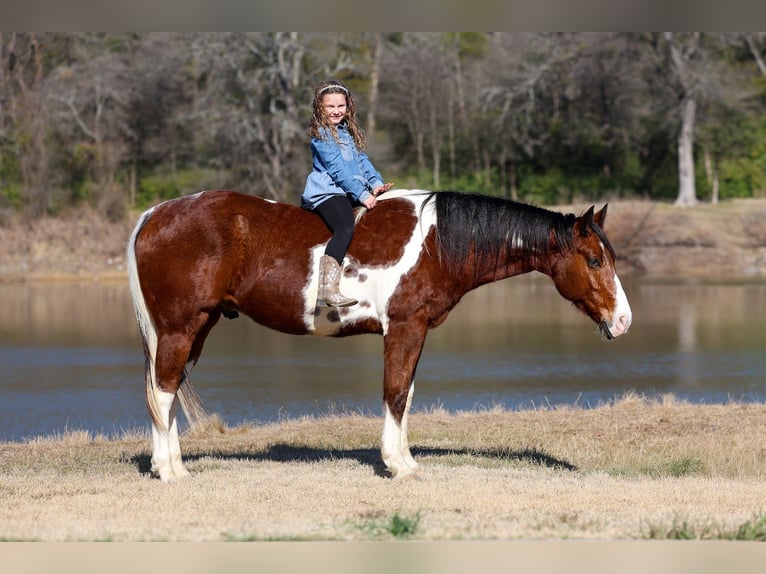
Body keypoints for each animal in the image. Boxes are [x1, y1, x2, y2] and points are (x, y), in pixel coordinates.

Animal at [127, 189, 632, 482]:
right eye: (593, 259)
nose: (625, 320)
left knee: (163, 390)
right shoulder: (404, 327)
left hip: (197, 326)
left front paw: (404, 458)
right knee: (162, 390)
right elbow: (394, 392)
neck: (436, 241)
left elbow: (406, 395)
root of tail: (154, 214)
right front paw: (398, 465)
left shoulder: (416, 329)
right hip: (181, 326)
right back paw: (170, 471)